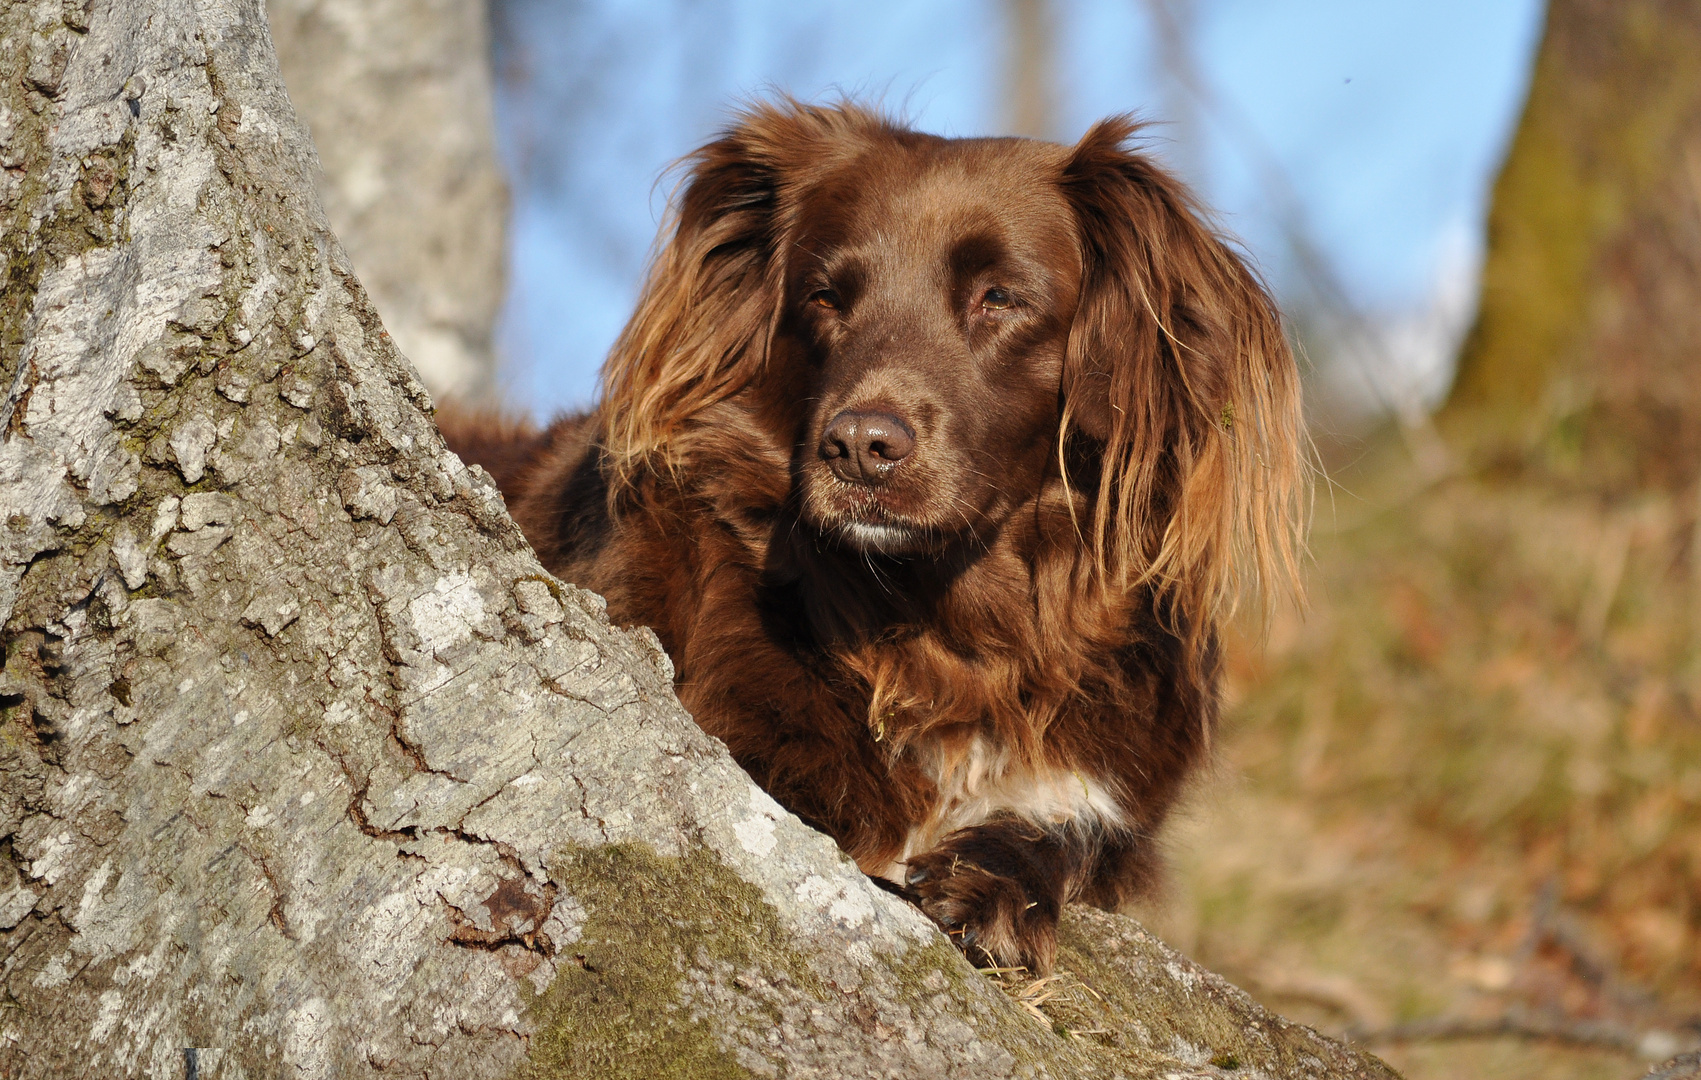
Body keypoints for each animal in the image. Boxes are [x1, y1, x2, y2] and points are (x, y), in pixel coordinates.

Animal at [438, 101, 1299, 972]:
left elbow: (1067, 825)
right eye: (824, 297)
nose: (857, 447)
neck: (945, 628)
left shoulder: (1104, 787)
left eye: (998, 297)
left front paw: (992, 887)